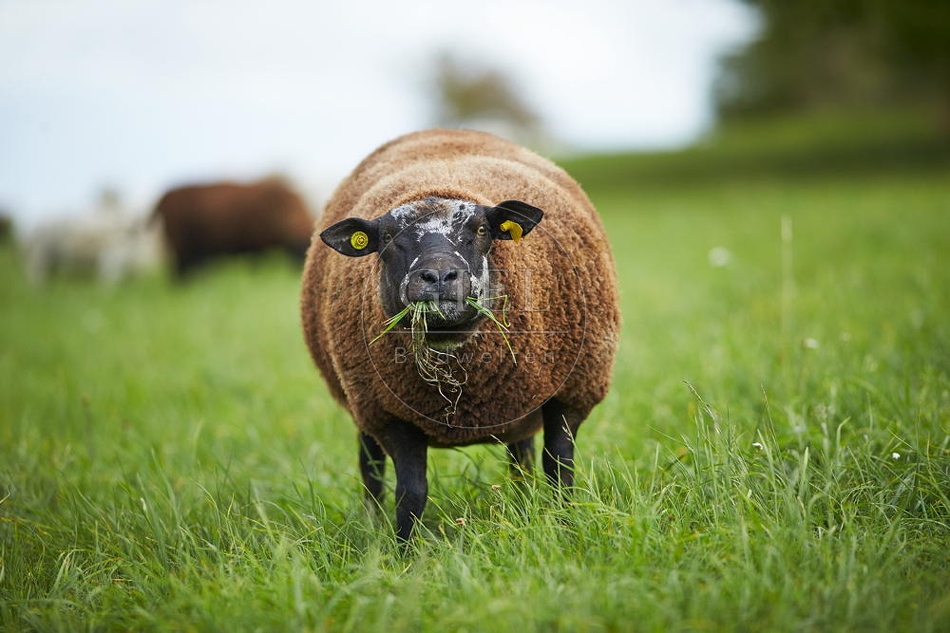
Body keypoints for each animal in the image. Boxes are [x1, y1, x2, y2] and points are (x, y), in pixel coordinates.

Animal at [300, 129, 620, 542]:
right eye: (386, 236)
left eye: (482, 230)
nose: (438, 277)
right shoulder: (393, 415)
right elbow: (411, 492)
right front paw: (403, 551)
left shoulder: (570, 394)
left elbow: (558, 470)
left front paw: (566, 527)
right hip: (363, 404)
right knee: (370, 468)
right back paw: (371, 525)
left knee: (521, 458)